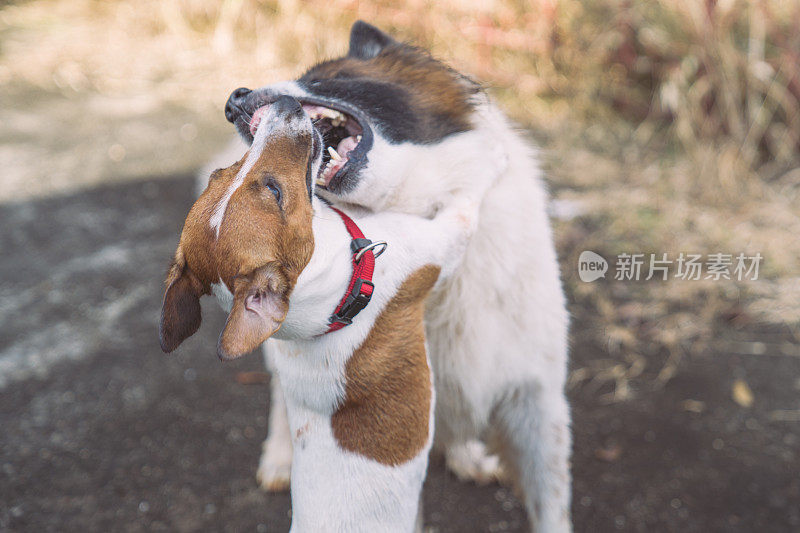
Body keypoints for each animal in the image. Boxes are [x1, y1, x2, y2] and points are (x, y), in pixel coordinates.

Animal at [159, 94, 484, 528]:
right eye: (276, 191)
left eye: (221, 173)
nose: (285, 104)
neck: (339, 300)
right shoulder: (441, 242)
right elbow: (468, 199)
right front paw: (492, 159)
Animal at [216, 21, 572, 532]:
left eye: (324, 77)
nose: (233, 100)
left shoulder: (537, 401)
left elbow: (551, 503)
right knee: (281, 395)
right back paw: (281, 458)